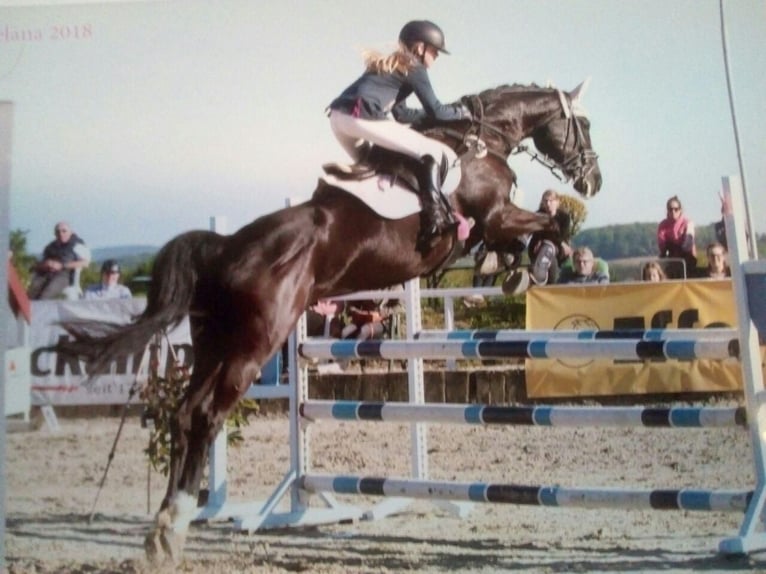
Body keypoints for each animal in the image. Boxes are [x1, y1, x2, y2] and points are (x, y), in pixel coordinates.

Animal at [57, 81, 604, 564]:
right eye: (584, 125)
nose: (592, 180)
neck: (480, 140)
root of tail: (224, 245)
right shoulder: (495, 214)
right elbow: (549, 223)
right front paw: (534, 264)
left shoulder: (491, 224)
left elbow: (518, 238)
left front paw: (509, 266)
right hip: (255, 343)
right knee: (207, 415)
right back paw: (176, 528)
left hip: (212, 343)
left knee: (185, 412)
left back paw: (168, 527)